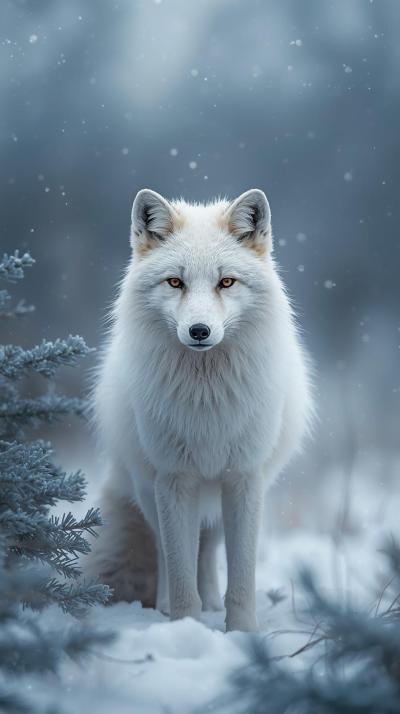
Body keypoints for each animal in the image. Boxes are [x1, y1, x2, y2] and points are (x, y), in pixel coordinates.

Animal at [87, 188, 313, 632]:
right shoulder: (174, 480)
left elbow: (240, 575)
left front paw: (241, 632)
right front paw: (184, 626)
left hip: (220, 497)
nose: (199, 332)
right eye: (176, 282)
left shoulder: (244, 479)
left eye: (226, 282)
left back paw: (210, 603)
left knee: (207, 551)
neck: (207, 398)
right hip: (149, 491)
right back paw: (167, 607)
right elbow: (179, 570)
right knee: (170, 550)